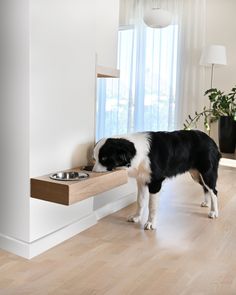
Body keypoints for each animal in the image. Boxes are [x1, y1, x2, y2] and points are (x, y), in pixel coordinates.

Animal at [92, 131, 221, 230]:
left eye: (104, 158)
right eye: (94, 158)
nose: (92, 171)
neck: (138, 152)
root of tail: (212, 141)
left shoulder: (155, 182)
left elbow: (152, 205)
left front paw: (150, 223)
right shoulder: (141, 180)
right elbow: (140, 201)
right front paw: (136, 217)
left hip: (207, 173)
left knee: (214, 191)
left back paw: (214, 212)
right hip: (195, 174)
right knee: (206, 187)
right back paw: (207, 203)